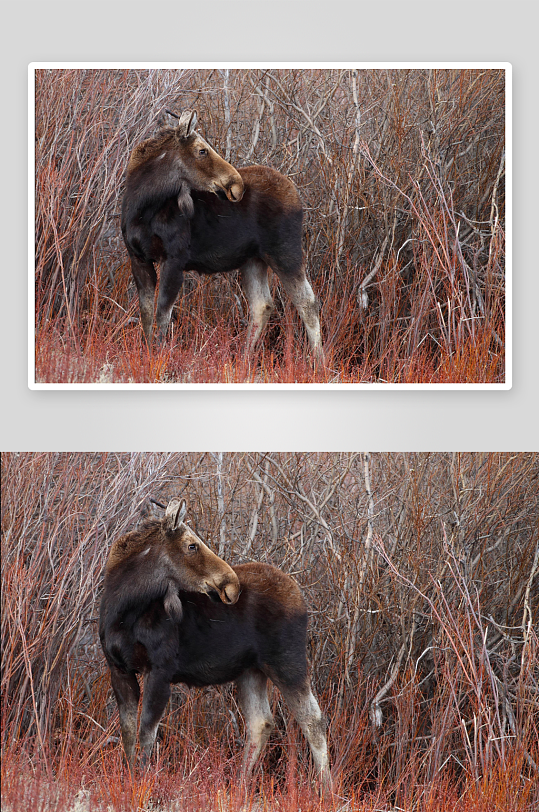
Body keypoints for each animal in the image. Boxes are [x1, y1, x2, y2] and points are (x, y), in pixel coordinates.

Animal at [99, 498, 332, 796]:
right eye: (192, 545)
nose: (231, 584)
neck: (123, 611)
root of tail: (301, 597)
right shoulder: (118, 669)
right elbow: (128, 734)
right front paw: (130, 780)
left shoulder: (160, 670)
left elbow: (146, 733)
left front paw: (141, 783)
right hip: (251, 671)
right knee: (261, 722)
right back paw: (240, 786)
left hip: (288, 662)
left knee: (312, 719)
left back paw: (326, 789)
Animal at [121, 109, 324, 364]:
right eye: (202, 150)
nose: (236, 185)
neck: (142, 208)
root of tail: (297, 195)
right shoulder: (137, 258)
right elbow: (147, 314)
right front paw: (148, 355)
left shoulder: (175, 259)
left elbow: (162, 315)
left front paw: (157, 357)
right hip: (253, 260)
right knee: (262, 304)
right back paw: (244, 360)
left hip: (286, 252)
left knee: (307, 302)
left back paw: (320, 363)